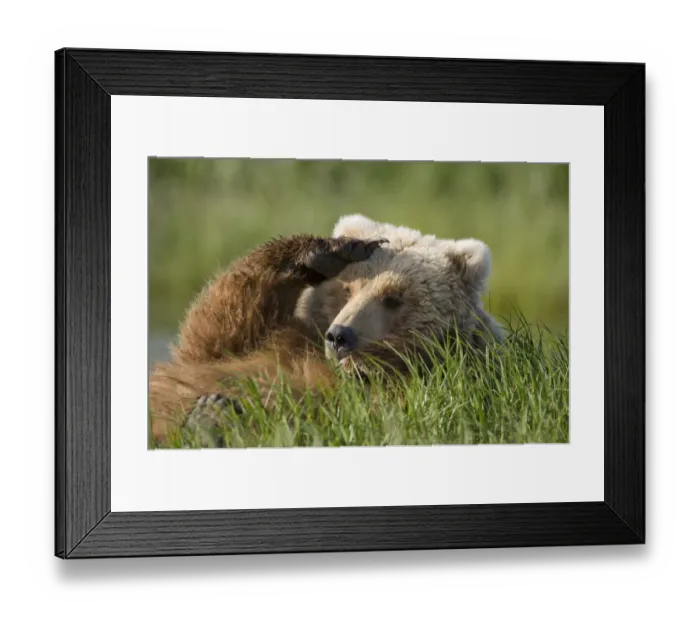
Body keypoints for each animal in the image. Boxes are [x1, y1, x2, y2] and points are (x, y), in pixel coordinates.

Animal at [148, 214, 504, 444]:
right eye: (348, 289)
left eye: (393, 298)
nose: (339, 336)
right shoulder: (276, 338)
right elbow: (213, 330)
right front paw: (331, 251)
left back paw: (210, 418)